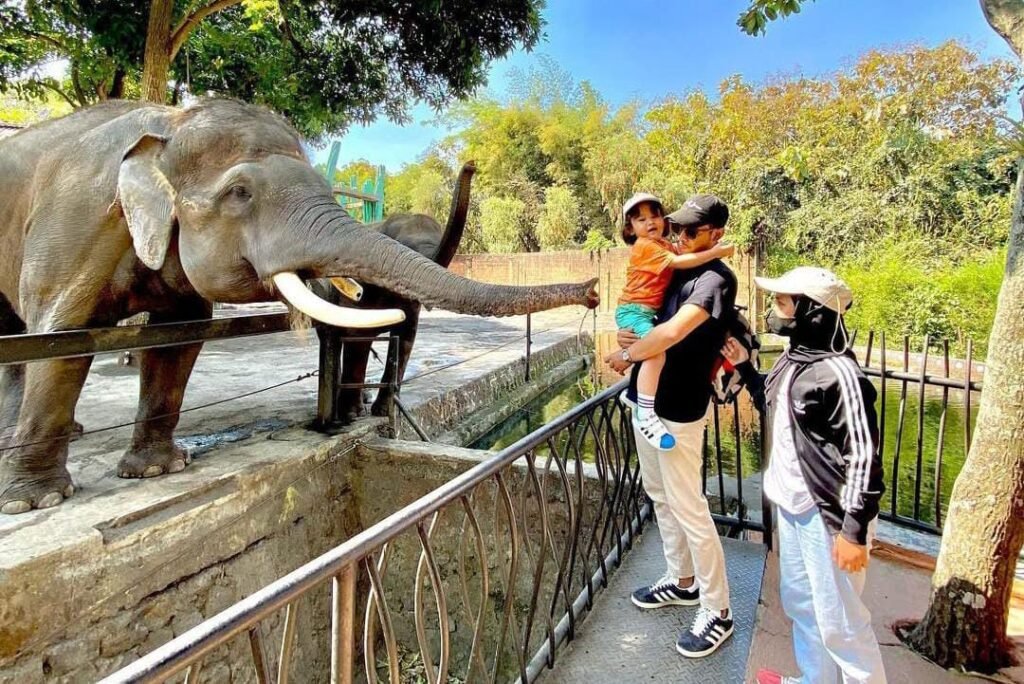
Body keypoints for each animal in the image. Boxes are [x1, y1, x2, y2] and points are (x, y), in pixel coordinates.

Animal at [328, 161, 476, 423]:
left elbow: (406, 338)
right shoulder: (359, 288)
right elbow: (357, 335)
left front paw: (383, 411)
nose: (471, 164)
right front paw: (351, 416)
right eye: (404, 249)